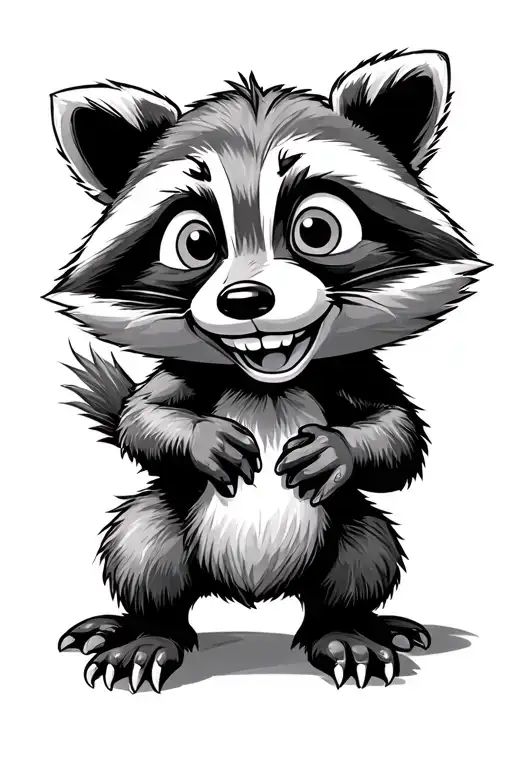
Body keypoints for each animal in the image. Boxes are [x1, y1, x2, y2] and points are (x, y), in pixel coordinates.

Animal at [48, 49, 487, 692]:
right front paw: (205, 439)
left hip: (348, 529)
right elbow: (143, 418)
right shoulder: (188, 373)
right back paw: (146, 635)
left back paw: (350, 632)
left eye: (317, 229)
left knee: (365, 553)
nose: (246, 299)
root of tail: (254, 591)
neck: (267, 384)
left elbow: (399, 434)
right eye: (195, 242)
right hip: (163, 528)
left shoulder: (353, 372)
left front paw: (335, 448)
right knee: (143, 547)